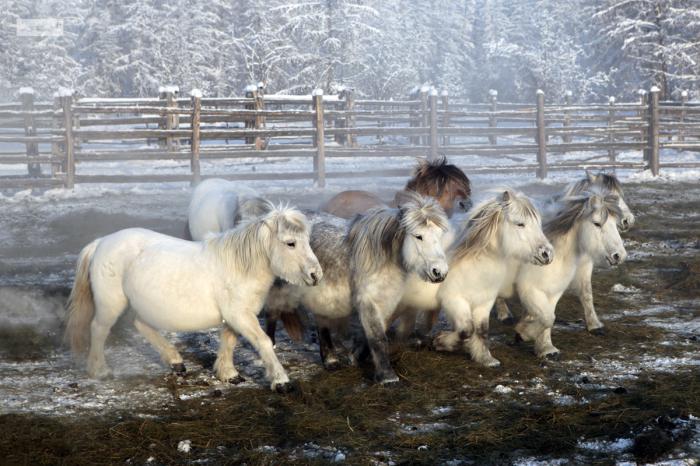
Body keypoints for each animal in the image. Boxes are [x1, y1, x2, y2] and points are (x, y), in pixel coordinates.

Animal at [63, 206, 322, 392]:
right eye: (290, 243)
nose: (316, 275)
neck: (239, 267)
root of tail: (101, 243)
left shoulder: (235, 317)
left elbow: (229, 341)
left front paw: (229, 374)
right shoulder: (240, 316)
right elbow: (264, 342)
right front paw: (281, 381)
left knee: (141, 324)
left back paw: (175, 361)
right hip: (111, 304)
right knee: (98, 329)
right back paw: (100, 370)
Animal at [494, 173, 636, 334]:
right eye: (597, 223)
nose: (628, 220)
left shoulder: (584, 267)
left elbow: (587, 294)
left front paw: (594, 325)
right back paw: (504, 314)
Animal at [512, 191, 628, 358]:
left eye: (615, 224)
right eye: (597, 224)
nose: (619, 256)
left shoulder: (557, 287)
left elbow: (551, 314)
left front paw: (546, 348)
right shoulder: (530, 289)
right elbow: (546, 316)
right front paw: (524, 333)